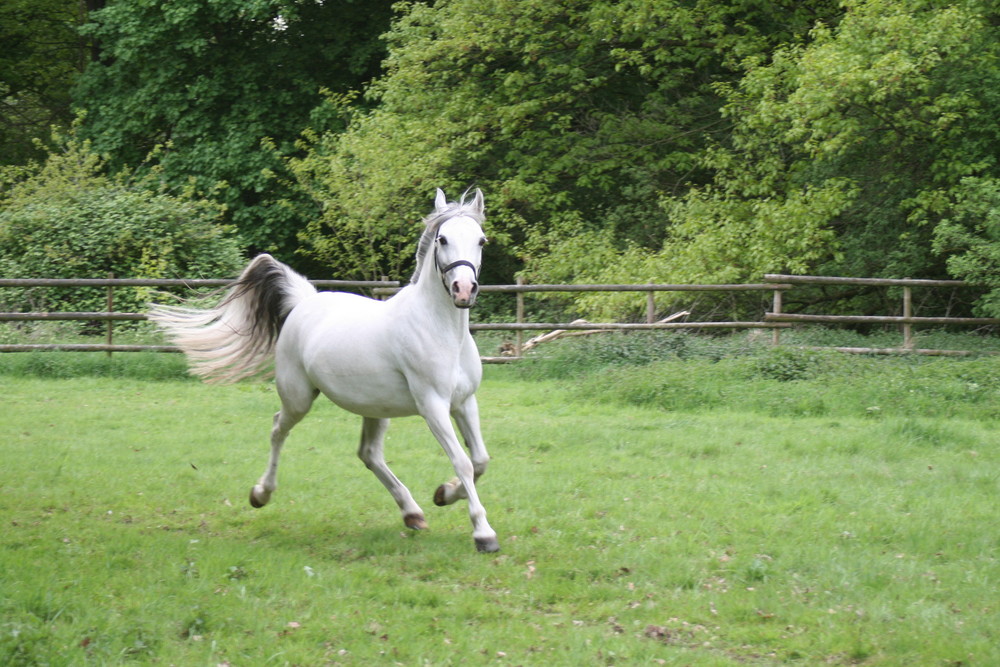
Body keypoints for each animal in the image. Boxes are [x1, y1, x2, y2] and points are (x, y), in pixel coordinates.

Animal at [149, 189, 500, 552]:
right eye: (442, 239)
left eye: (481, 240)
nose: (464, 289)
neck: (441, 332)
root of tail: (304, 302)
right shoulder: (433, 406)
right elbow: (463, 462)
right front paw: (483, 533)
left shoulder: (464, 402)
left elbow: (480, 460)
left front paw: (444, 493)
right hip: (299, 398)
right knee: (278, 429)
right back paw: (261, 493)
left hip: (376, 407)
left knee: (369, 454)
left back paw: (412, 513)